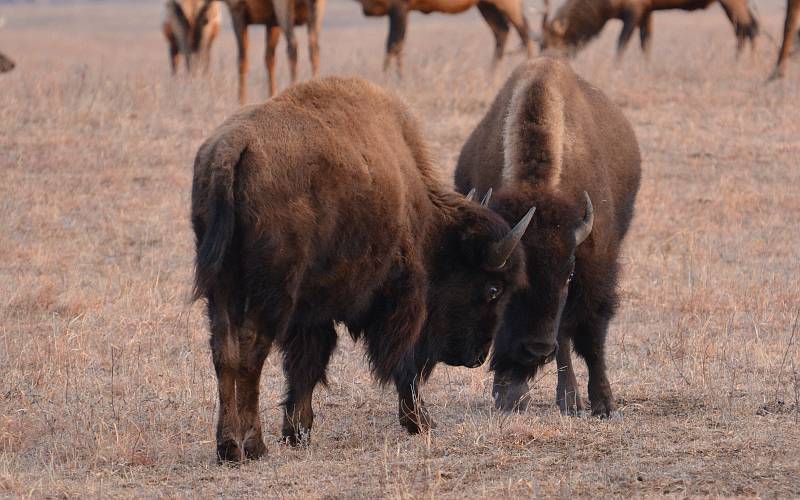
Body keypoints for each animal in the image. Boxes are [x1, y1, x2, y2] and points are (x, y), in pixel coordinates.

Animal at [191, 75, 536, 460]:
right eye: (492, 289)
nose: (478, 356)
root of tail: (232, 148)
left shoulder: (312, 311)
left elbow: (306, 364)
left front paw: (298, 430)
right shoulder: (399, 301)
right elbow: (403, 362)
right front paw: (420, 422)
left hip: (221, 287)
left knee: (224, 352)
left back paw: (228, 447)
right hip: (269, 293)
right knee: (251, 352)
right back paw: (255, 446)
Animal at [354, 0, 536, 75]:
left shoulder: (399, 7)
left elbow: (394, 44)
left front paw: (395, 80)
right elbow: (394, 45)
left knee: (524, 31)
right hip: (485, 5)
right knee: (501, 30)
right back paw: (490, 75)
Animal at [456, 57, 644, 418]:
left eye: (567, 275)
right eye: (511, 283)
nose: (538, 349)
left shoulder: (595, 265)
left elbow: (586, 334)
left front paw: (597, 403)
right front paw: (511, 394)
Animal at [540, 0, 760, 59]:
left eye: (552, 41)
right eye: (541, 44)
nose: (551, 59)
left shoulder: (634, 9)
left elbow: (621, 43)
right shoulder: (647, 11)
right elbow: (645, 42)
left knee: (750, 28)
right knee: (744, 29)